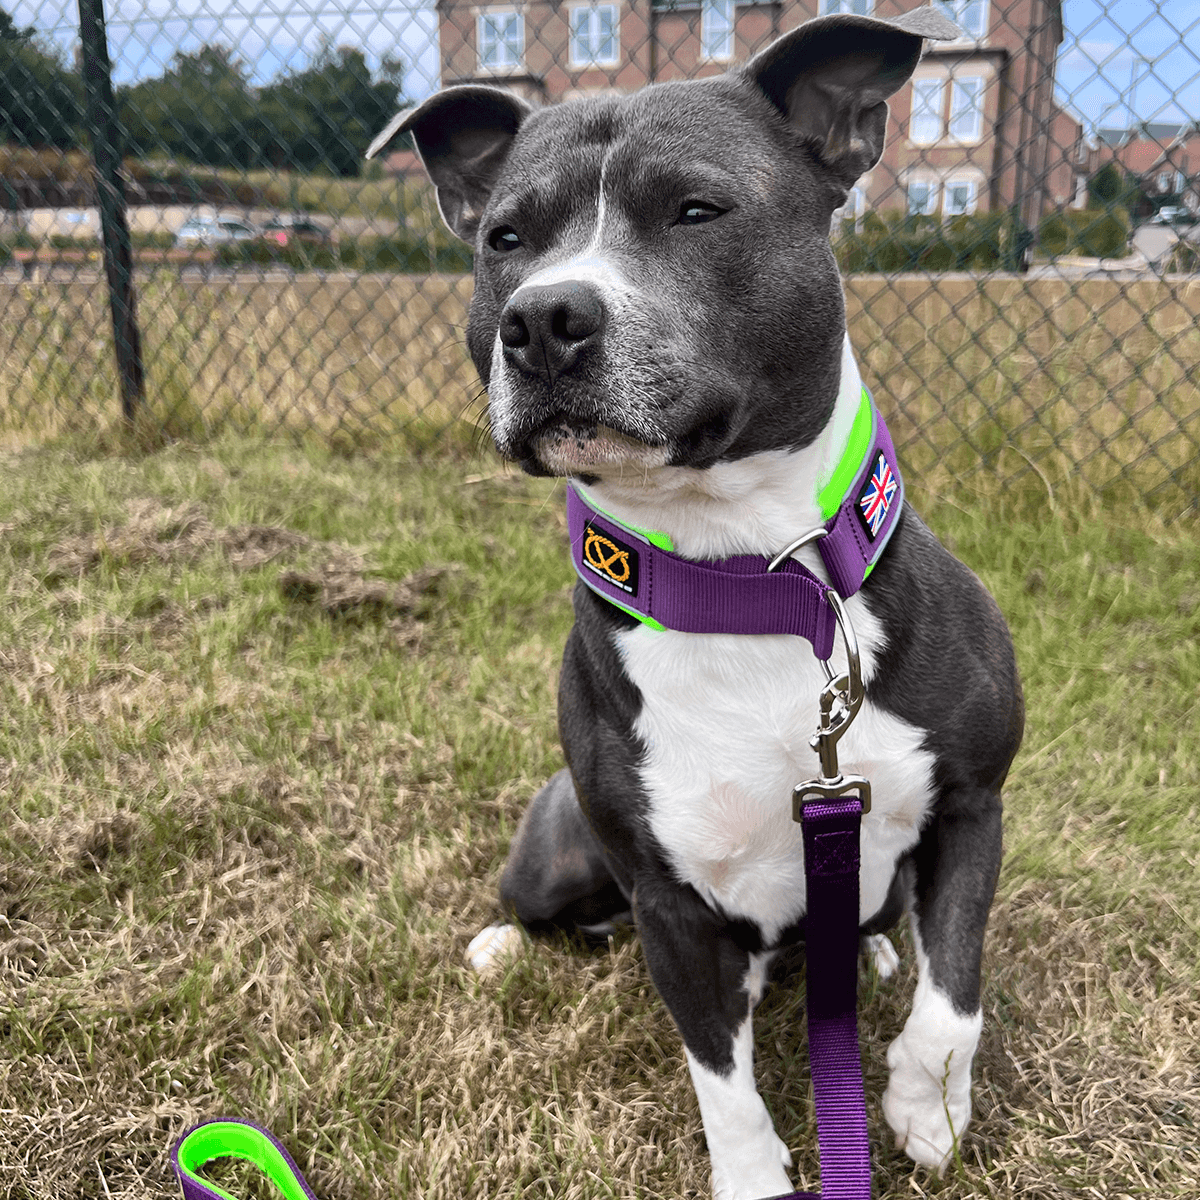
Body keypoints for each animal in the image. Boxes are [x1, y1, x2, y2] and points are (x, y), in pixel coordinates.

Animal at [367, 7, 1022, 1190]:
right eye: (504, 240)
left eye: (697, 210)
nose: (543, 318)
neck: (753, 583)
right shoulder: (669, 906)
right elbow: (723, 1085)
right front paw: (759, 1177)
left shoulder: (973, 805)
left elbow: (955, 996)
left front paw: (925, 1106)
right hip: (559, 849)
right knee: (539, 910)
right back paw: (500, 945)